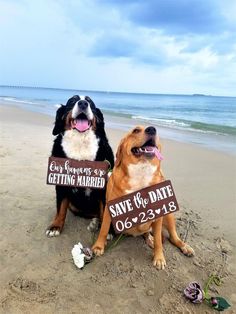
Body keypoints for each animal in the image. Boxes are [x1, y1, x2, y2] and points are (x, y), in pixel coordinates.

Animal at [46, 94, 114, 237]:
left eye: (90, 102)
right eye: (72, 101)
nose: (83, 103)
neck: (80, 141)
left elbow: (105, 211)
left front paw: (108, 231)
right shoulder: (61, 183)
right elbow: (61, 208)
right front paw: (55, 226)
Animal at [92, 126, 194, 268]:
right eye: (135, 130)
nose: (152, 129)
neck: (141, 173)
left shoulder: (159, 214)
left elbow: (159, 240)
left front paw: (159, 257)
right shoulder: (110, 208)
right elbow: (103, 229)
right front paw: (98, 246)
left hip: (168, 215)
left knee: (172, 237)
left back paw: (182, 246)